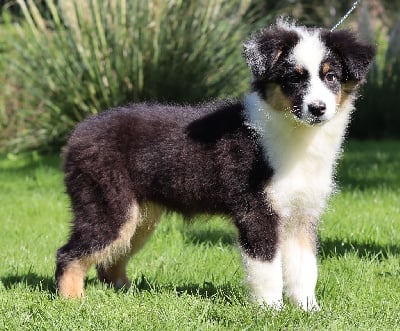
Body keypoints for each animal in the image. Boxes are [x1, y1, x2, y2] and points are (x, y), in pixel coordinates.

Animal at [56, 21, 376, 312]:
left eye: (331, 76)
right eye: (294, 79)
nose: (318, 109)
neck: (296, 137)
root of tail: (79, 132)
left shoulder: (301, 216)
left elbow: (305, 270)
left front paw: (309, 311)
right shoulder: (257, 212)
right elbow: (267, 270)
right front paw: (270, 311)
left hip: (140, 217)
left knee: (109, 260)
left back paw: (128, 294)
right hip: (109, 207)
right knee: (69, 254)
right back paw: (72, 301)